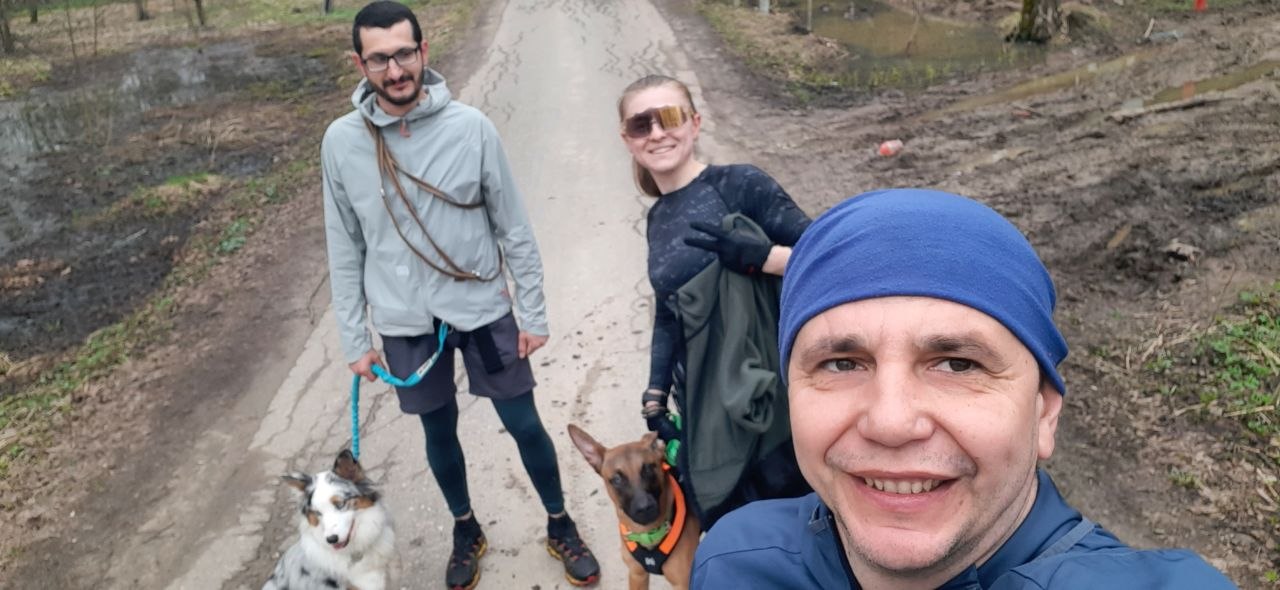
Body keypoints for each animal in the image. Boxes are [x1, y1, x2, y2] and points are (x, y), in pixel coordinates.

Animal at [568, 425, 701, 590]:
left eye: (649, 468)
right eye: (617, 479)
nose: (645, 508)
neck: (646, 534)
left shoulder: (683, 583)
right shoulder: (637, 575)